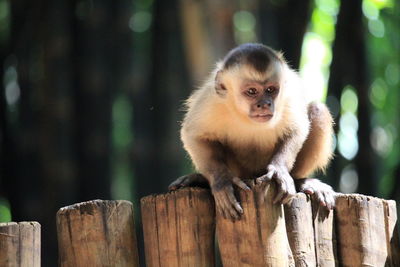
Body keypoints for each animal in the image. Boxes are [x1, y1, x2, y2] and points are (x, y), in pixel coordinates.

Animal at [167, 43, 336, 220]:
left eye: (271, 89)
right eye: (252, 91)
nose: (265, 104)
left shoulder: (289, 95)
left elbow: (296, 129)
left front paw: (279, 170)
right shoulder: (211, 100)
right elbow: (194, 135)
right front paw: (222, 181)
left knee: (318, 110)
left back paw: (300, 182)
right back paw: (201, 180)